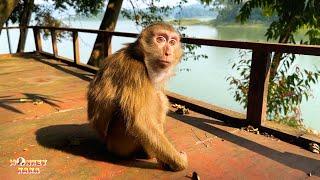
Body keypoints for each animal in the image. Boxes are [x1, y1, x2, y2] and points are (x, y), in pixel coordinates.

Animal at [87, 21, 188, 171]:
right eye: (160, 39)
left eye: (172, 42)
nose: (168, 52)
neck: (139, 56)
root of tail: (106, 144)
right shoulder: (136, 71)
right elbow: (140, 122)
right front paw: (180, 162)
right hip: (120, 142)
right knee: (155, 99)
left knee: (159, 97)